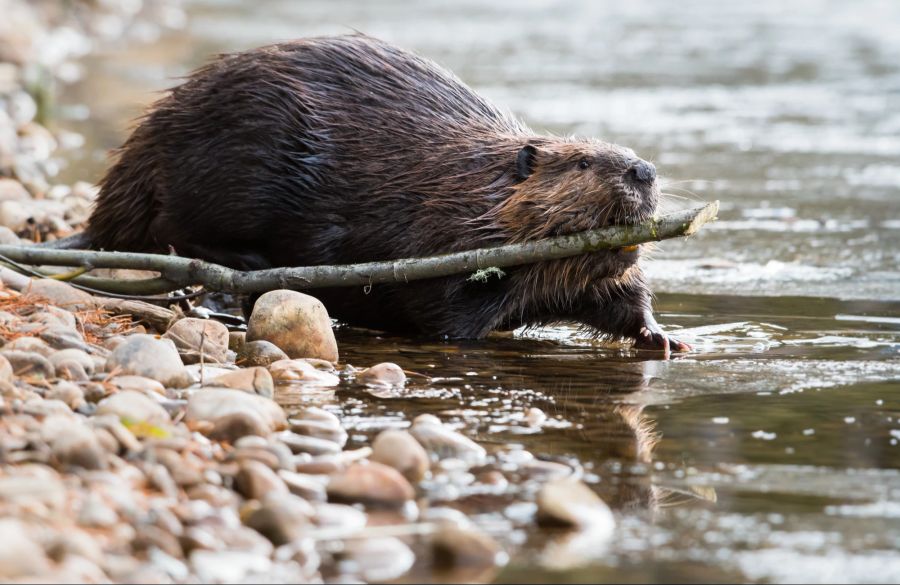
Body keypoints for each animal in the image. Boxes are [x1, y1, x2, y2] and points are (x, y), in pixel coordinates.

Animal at [84, 35, 688, 352]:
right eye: (583, 161)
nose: (643, 170)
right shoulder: (437, 234)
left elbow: (621, 296)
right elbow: (444, 310)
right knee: (177, 230)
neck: (474, 184)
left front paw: (665, 339)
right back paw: (246, 268)